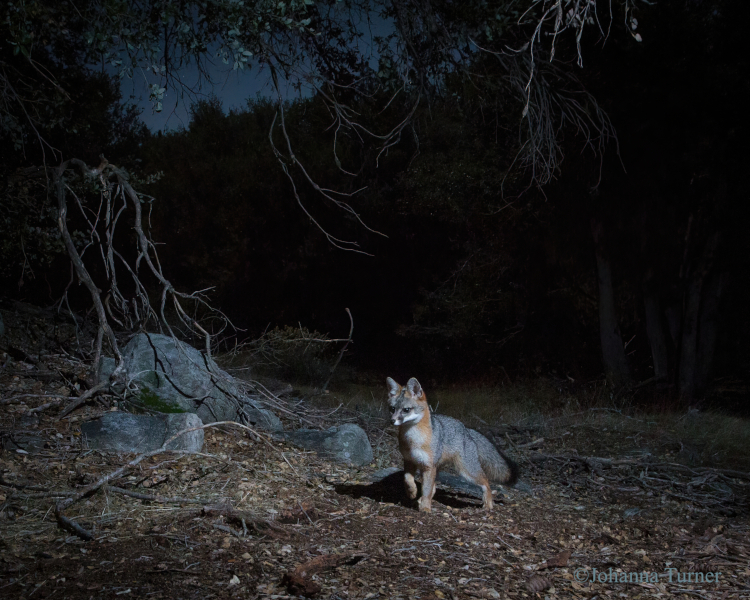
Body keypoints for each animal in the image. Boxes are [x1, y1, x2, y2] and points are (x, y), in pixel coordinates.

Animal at [388, 376, 516, 510]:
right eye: (392, 409)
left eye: (406, 410)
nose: (392, 421)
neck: (414, 441)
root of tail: (466, 429)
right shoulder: (409, 461)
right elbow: (407, 479)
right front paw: (412, 492)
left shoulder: (428, 467)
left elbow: (426, 490)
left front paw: (425, 509)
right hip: (440, 468)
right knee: (434, 487)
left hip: (466, 471)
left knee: (486, 482)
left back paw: (488, 504)